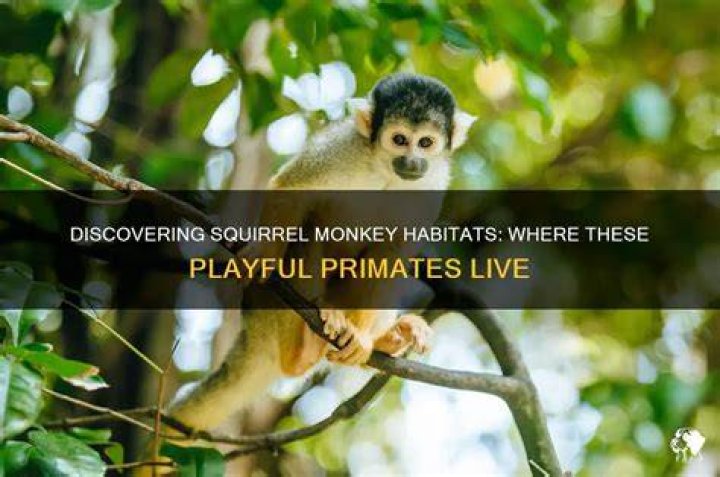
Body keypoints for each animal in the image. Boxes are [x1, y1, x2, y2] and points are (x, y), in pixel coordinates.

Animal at [167, 73, 476, 432]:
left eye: (425, 142)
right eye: (400, 139)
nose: (412, 161)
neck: (384, 170)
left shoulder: (432, 184)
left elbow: (394, 248)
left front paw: (361, 338)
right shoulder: (340, 150)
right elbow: (294, 189)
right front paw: (263, 255)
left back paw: (385, 339)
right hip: (268, 308)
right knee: (310, 229)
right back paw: (301, 347)